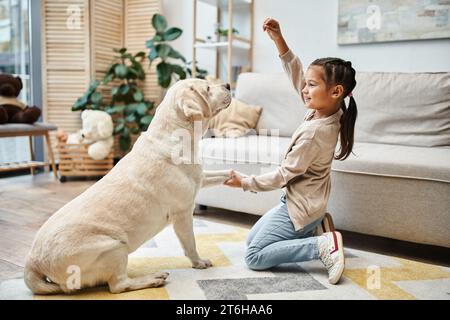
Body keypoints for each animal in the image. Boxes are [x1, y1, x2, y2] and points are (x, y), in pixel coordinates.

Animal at [25, 79, 232, 294]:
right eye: (207, 88)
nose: (228, 84)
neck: (176, 136)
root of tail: (33, 263)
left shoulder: (200, 179)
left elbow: (224, 174)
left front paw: (239, 177)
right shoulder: (183, 213)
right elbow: (190, 243)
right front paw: (199, 262)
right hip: (115, 247)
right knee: (118, 285)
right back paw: (153, 278)